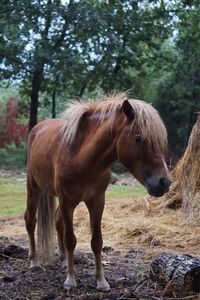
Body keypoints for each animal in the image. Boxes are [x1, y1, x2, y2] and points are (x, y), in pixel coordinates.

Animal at [24, 93, 171, 290]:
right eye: (138, 139)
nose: (164, 182)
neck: (81, 157)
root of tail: (37, 129)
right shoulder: (66, 201)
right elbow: (71, 239)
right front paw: (70, 280)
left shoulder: (97, 201)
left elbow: (97, 241)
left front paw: (101, 281)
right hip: (34, 188)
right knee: (31, 221)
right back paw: (34, 261)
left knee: (57, 221)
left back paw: (63, 259)